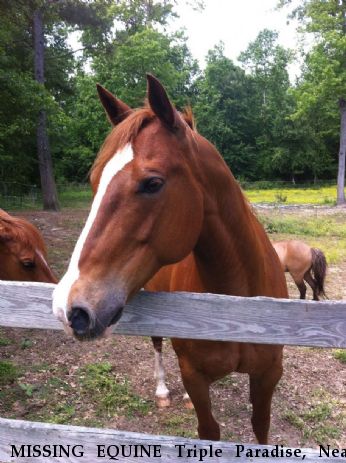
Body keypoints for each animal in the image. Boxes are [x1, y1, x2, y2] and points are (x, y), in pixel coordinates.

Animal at [52, 76, 288, 446]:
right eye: (93, 182)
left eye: (152, 183)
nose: (70, 309)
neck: (236, 309)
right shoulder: (194, 373)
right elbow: (208, 429)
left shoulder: (268, 375)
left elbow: (261, 426)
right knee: (157, 346)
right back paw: (163, 389)